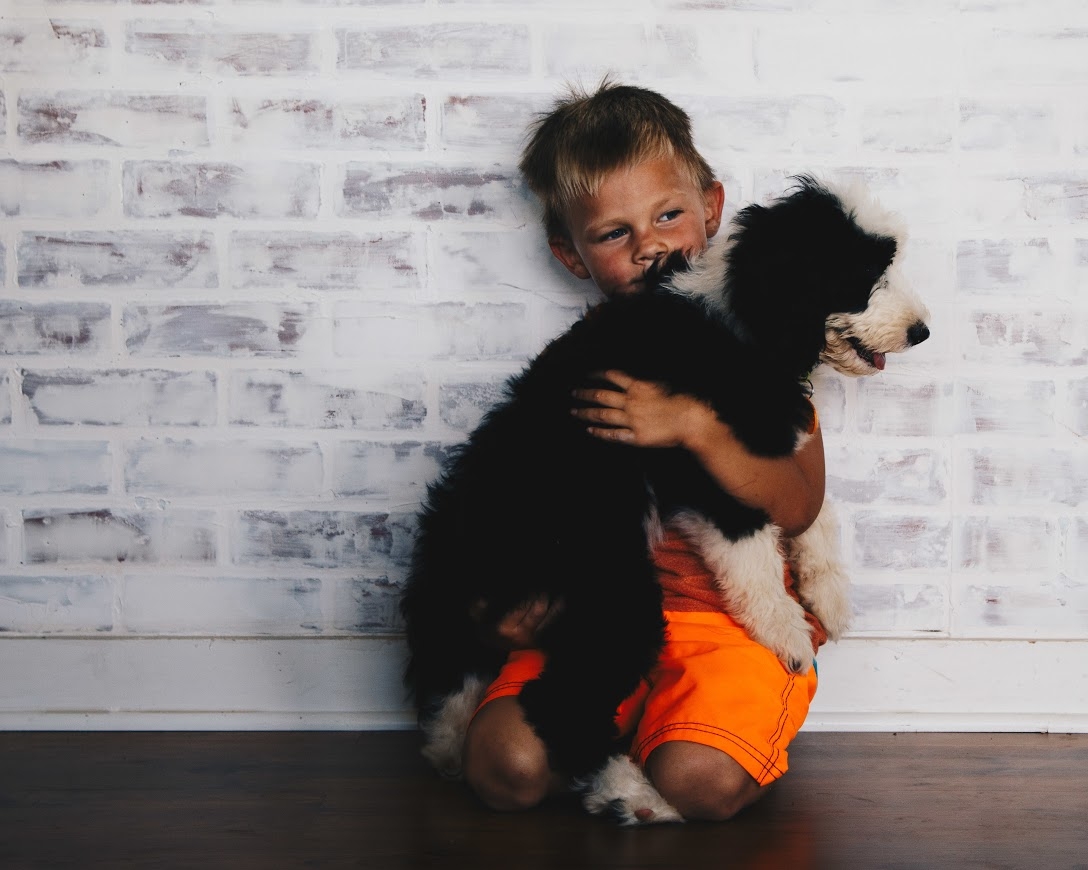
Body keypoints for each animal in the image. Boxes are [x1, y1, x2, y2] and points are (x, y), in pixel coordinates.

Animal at [404, 175, 931, 822]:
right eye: (864, 273)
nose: (921, 331)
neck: (736, 321)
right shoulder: (702, 467)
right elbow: (751, 549)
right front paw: (786, 632)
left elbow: (813, 509)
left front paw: (827, 595)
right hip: (609, 579)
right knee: (561, 704)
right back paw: (632, 797)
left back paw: (452, 744)